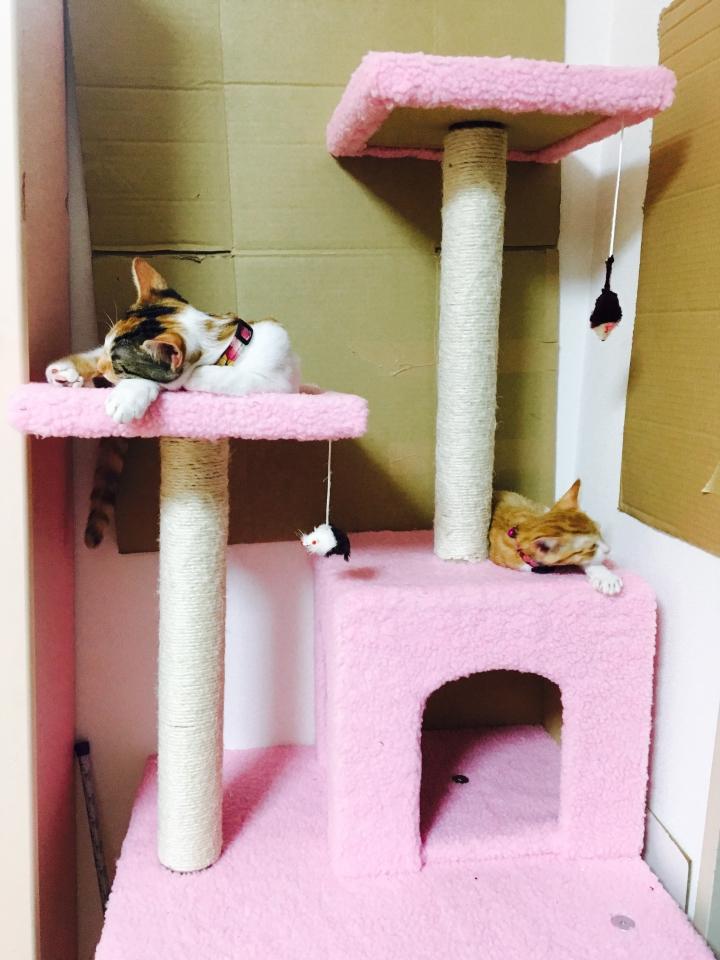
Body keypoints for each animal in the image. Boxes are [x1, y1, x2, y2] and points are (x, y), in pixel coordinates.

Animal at [46, 257, 301, 546]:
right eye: (109, 346)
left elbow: (238, 380)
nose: (102, 368)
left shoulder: (280, 384)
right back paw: (65, 374)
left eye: (119, 365)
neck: (228, 350)